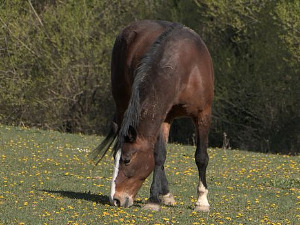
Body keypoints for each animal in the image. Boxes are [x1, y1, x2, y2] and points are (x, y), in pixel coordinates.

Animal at [91, 20, 213, 212]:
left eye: (127, 160)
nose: (115, 199)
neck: (186, 67)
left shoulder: (203, 115)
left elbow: (201, 157)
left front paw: (202, 202)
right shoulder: (162, 117)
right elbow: (158, 156)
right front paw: (153, 200)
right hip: (122, 102)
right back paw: (165, 195)